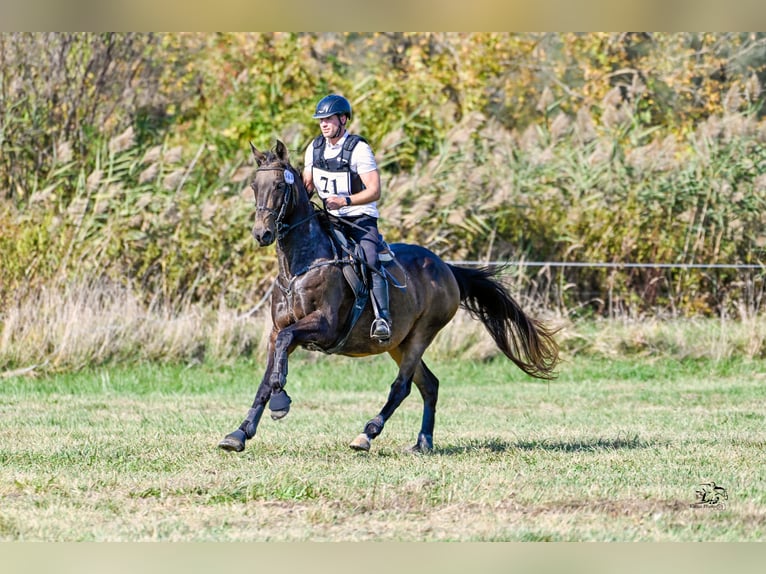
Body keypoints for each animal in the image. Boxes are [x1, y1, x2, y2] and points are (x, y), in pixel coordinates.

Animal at [219, 141, 560, 454]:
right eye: (254, 186)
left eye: (279, 185)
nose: (261, 234)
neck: (299, 267)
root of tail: (446, 268)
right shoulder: (277, 330)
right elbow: (268, 373)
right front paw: (239, 433)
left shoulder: (324, 326)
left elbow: (285, 346)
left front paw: (281, 401)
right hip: (398, 341)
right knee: (429, 385)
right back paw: (423, 442)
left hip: (422, 333)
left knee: (403, 386)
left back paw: (367, 434)